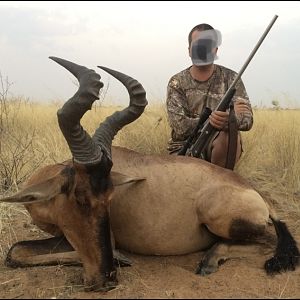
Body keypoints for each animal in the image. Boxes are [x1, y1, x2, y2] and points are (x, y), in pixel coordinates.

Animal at [0, 57, 298, 292]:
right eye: (81, 197)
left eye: (108, 198)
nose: (106, 280)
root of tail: (256, 193)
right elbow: (15, 251)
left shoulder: (105, 237)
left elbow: (15, 251)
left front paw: (122, 258)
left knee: (268, 240)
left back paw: (209, 261)